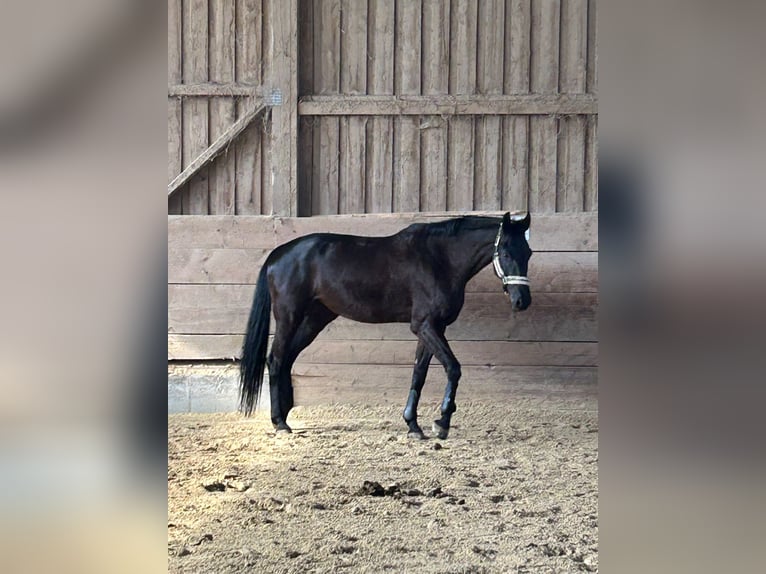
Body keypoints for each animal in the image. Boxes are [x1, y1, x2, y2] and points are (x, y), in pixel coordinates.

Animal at [239, 211, 532, 439]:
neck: (439, 259)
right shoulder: (425, 326)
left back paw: (286, 413)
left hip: (315, 319)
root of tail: (278, 254)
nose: (522, 301)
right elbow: (453, 368)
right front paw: (442, 423)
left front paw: (413, 425)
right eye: (506, 252)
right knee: (276, 359)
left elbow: (419, 374)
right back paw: (279, 422)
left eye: (528, 252)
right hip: (289, 316)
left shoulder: (430, 328)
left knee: (287, 359)